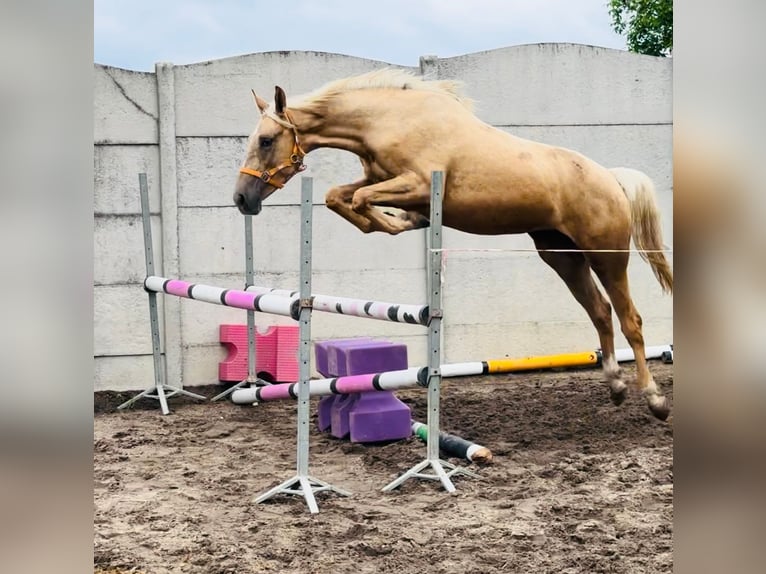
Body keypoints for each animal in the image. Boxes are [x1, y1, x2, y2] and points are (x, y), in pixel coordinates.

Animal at [232, 68, 672, 424]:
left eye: (266, 140)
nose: (242, 199)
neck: (389, 121)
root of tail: (611, 178)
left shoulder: (416, 183)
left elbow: (357, 200)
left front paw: (400, 221)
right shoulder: (380, 179)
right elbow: (339, 196)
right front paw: (400, 221)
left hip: (607, 256)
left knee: (630, 320)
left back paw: (655, 400)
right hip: (562, 257)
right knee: (600, 313)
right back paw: (616, 387)